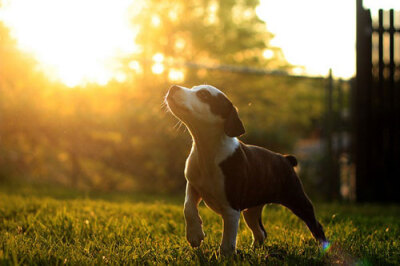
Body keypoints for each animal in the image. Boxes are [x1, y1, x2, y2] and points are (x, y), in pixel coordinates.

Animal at [165, 85, 324, 256]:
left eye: (203, 95)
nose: (173, 87)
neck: (207, 149)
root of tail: (286, 158)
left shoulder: (231, 209)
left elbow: (228, 240)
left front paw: (226, 257)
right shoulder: (193, 185)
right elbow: (188, 207)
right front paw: (194, 235)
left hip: (297, 199)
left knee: (315, 224)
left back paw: (323, 248)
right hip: (251, 210)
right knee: (261, 231)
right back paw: (254, 250)